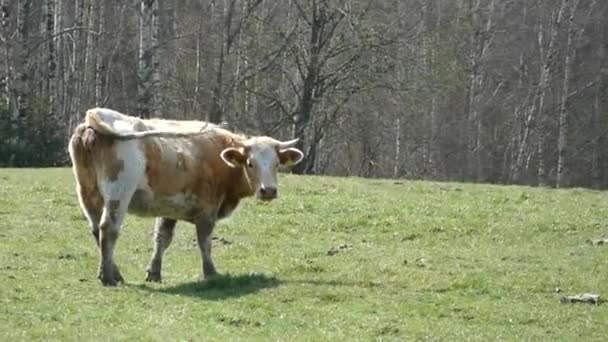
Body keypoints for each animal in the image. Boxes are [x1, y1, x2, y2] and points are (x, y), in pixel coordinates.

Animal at [69, 108, 304, 284]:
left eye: (276, 164)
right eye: (250, 163)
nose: (268, 190)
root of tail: (95, 119)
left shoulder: (169, 206)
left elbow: (162, 238)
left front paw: (154, 272)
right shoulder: (207, 210)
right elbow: (204, 241)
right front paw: (211, 273)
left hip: (87, 191)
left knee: (96, 229)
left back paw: (114, 273)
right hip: (119, 193)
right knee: (108, 229)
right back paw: (108, 277)